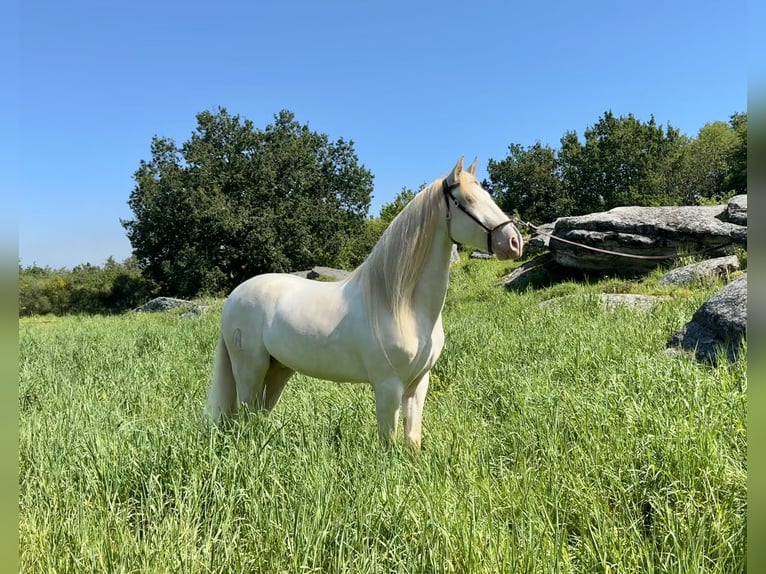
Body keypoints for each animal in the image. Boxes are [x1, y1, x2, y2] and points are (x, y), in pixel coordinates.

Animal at [204, 158, 524, 450]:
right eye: (466, 201)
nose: (514, 242)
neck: (402, 306)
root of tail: (234, 296)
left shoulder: (418, 384)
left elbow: (412, 439)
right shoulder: (388, 386)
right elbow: (388, 443)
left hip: (278, 370)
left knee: (257, 415)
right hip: (250, 368)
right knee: (244, 416)